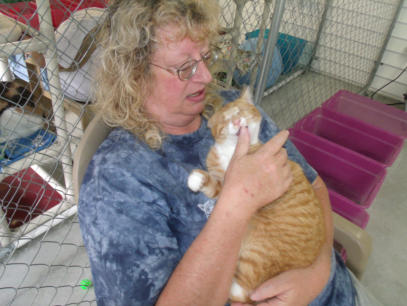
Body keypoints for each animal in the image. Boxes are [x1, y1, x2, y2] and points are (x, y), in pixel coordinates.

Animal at [187, 88, 326, 304]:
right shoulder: (225, 186)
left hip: (258, 252)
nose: (236, 122)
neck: (233, 152)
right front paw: (197, 179)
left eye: (240, 111)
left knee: (242, 290)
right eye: (225, 119)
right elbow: (213, 185)